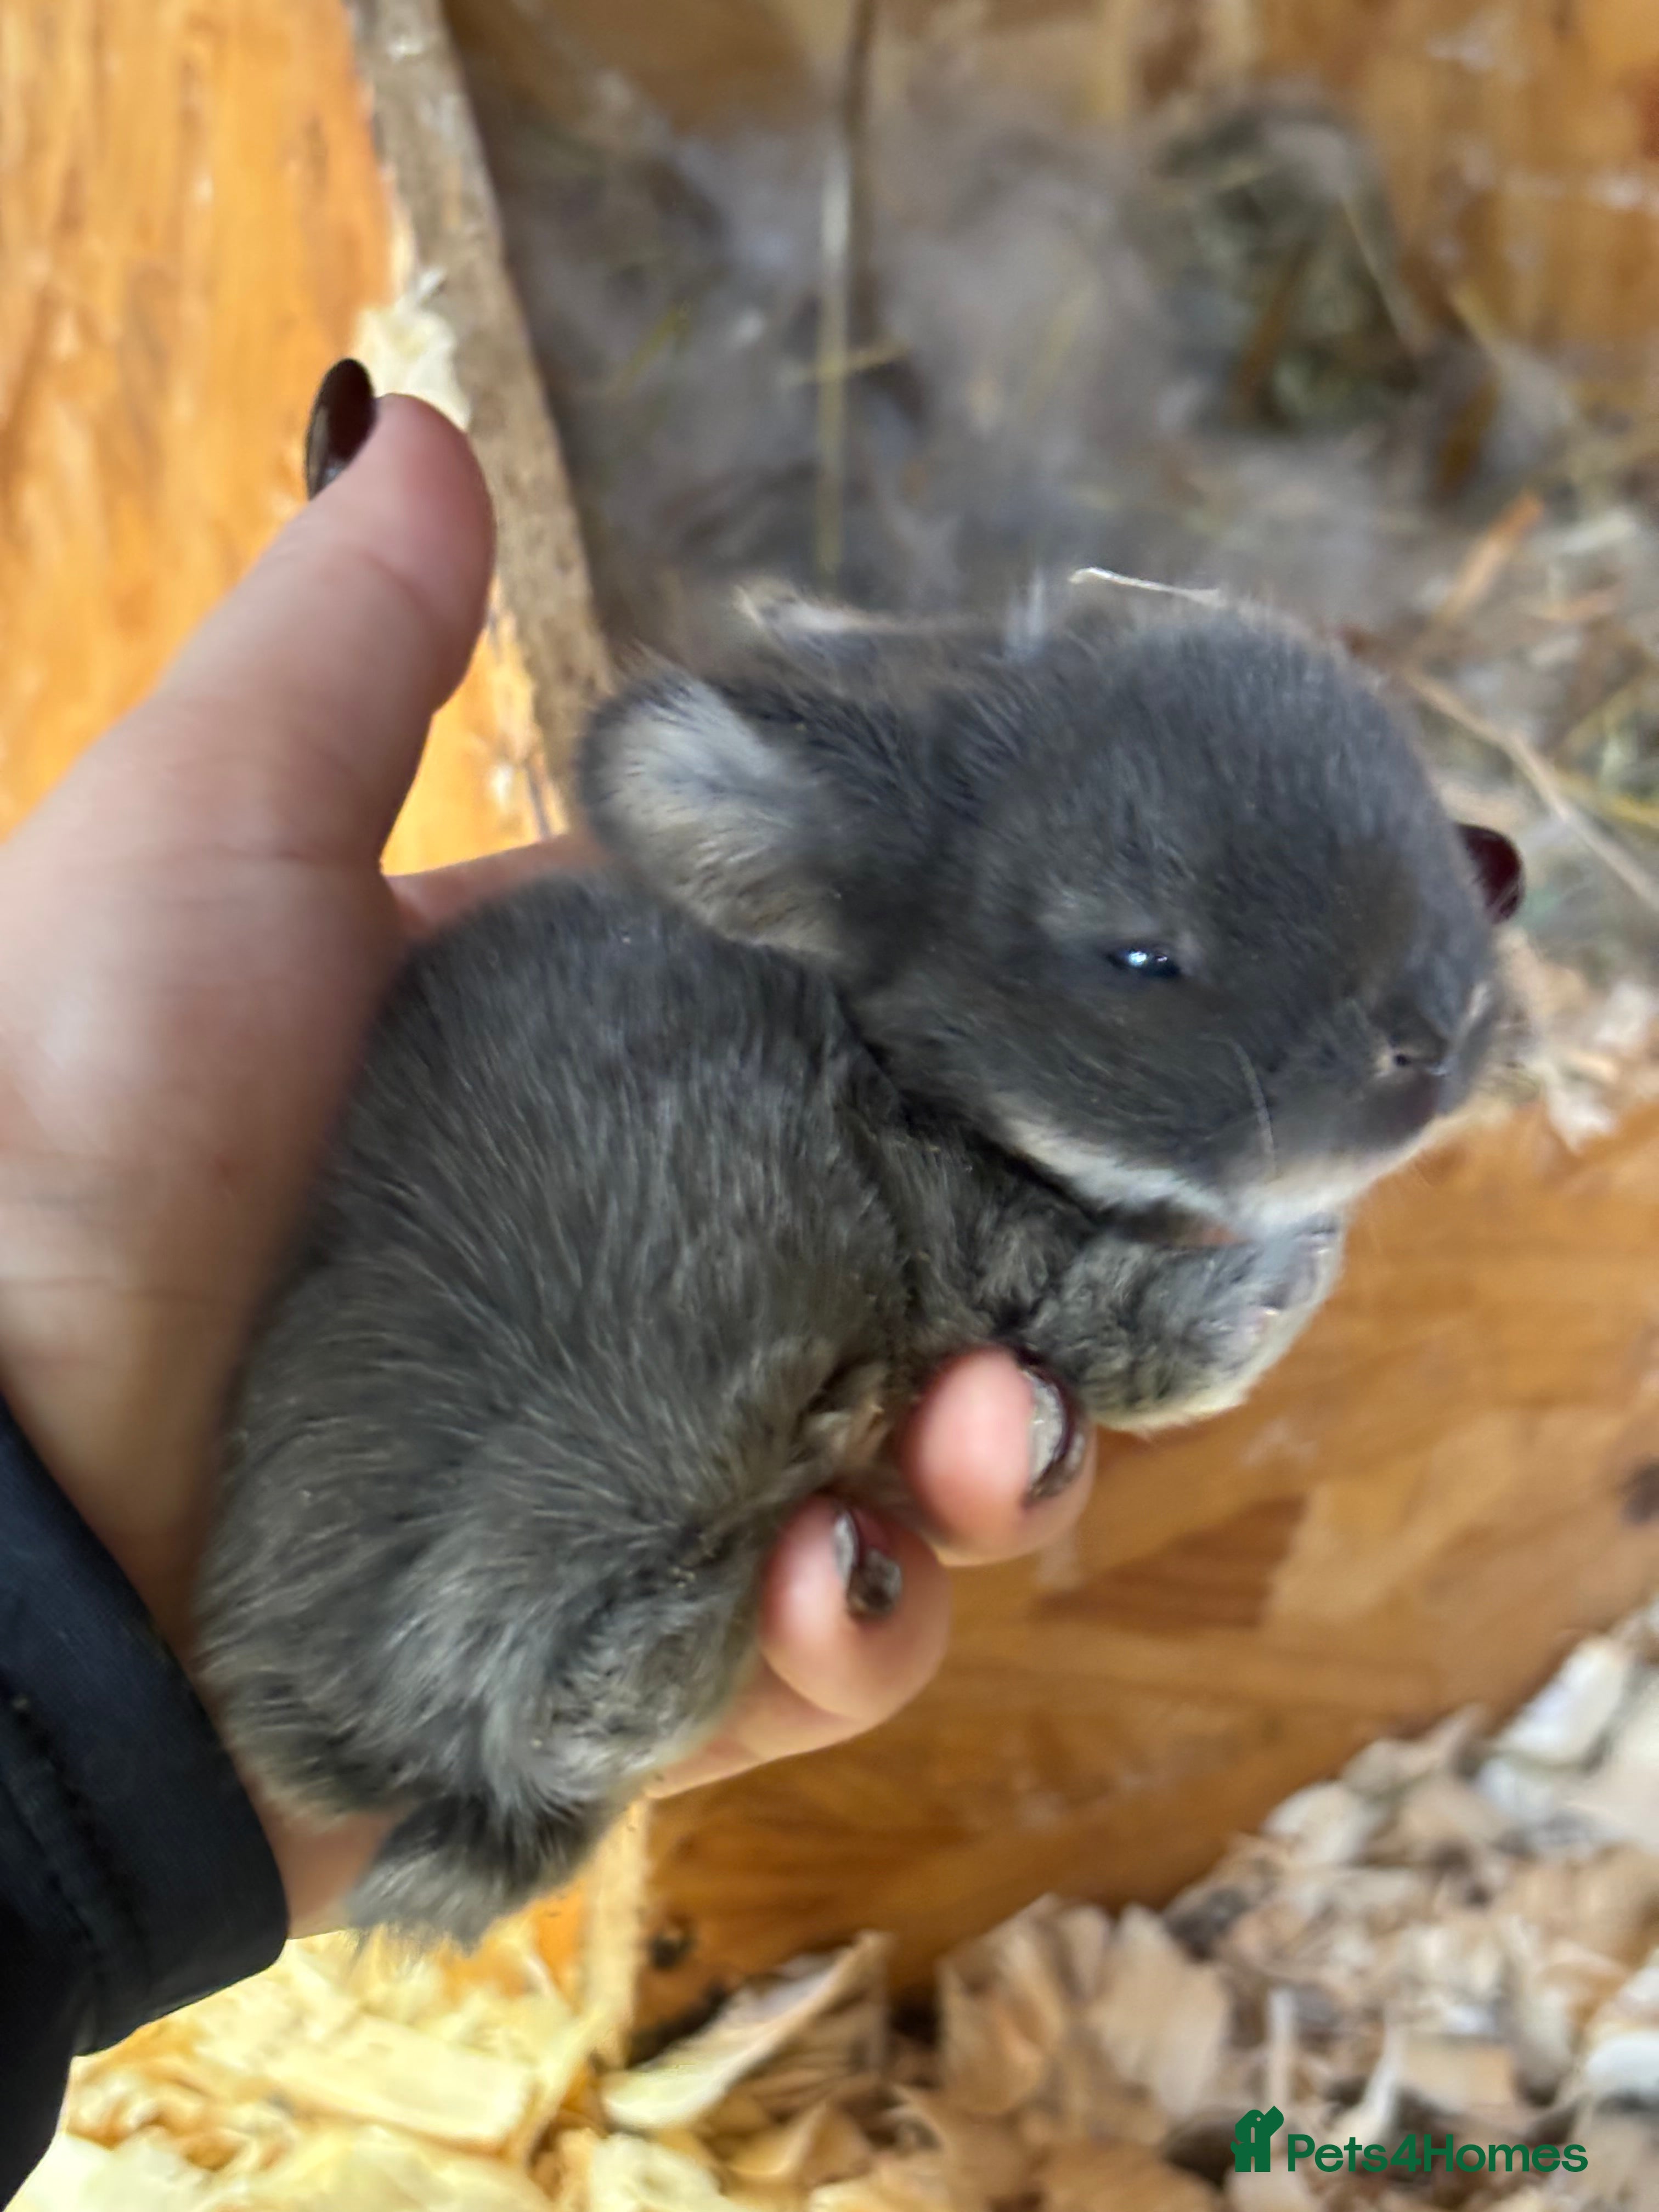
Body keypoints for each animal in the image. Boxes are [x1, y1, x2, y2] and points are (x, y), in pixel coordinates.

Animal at [195, 583, 1524, 1944]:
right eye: (1141, 956)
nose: (1438, 1036)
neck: (893, 1067)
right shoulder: (987, 1245)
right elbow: (1137, 1335)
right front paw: (1286, 1272)